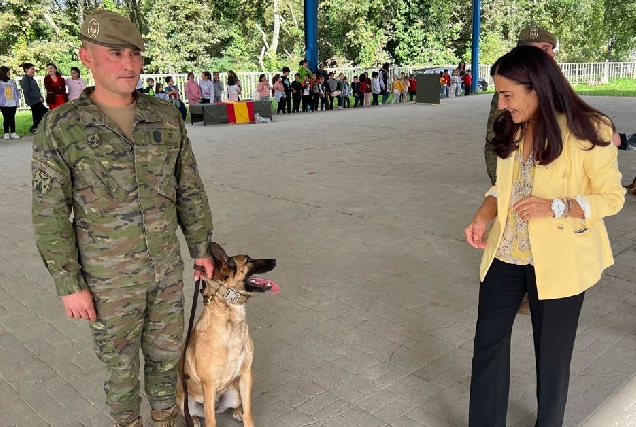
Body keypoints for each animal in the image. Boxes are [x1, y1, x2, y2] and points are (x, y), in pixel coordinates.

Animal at [179, 242, 278, 426]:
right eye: (248, 260)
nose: (275, 260)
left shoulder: (246, 374)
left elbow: (249, 412)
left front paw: (245, 416)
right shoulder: (209, 385)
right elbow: (211, 421)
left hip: (235, 390)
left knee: (237, 406)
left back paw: (237, 411)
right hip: (183, 401)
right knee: (192, 413)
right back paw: (194, 419)